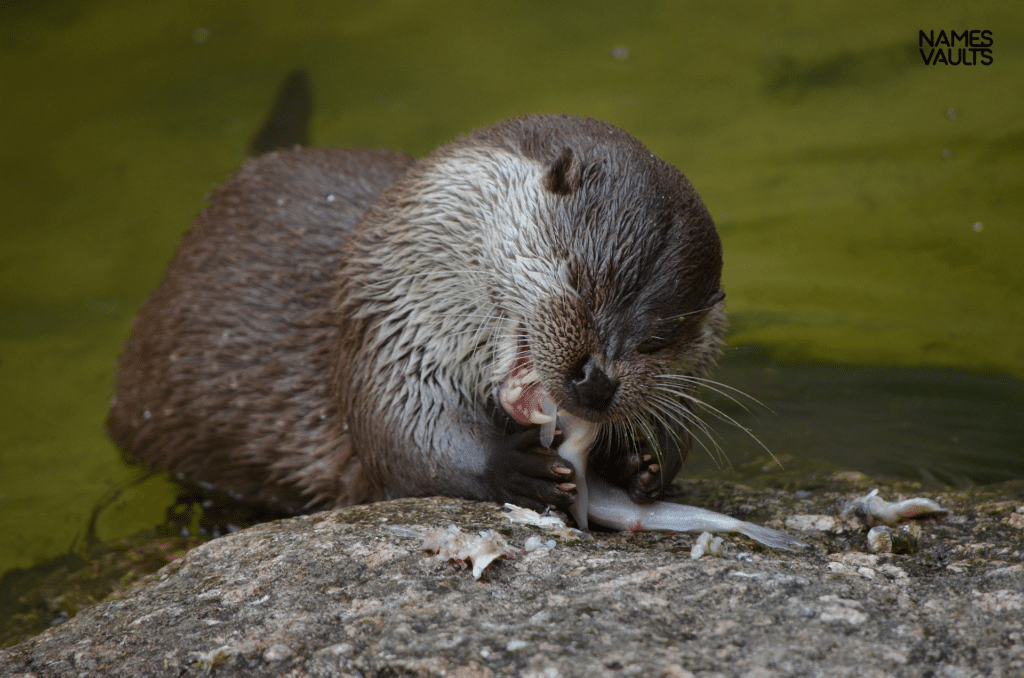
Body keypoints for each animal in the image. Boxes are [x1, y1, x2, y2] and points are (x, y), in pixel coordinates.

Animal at [108, 115, 802, 553]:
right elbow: (401, 435)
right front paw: (513, 467)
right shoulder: (391, 324)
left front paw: (643, 462)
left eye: (660, 340)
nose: (597, 382)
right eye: (580, 281)